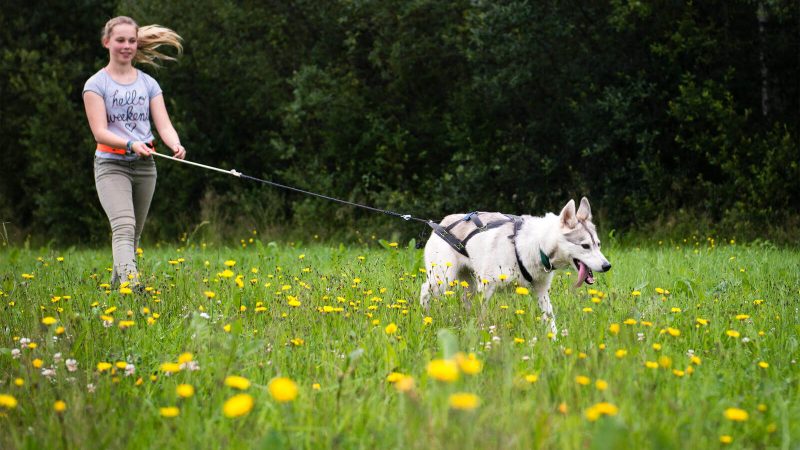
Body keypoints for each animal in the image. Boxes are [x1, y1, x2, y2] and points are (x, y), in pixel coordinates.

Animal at [418, 197, 612, 334]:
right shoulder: (486, 288)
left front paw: (556, 342)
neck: (538, 245)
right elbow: (483, 316)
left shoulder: (541, 292)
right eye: (585, 246)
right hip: (442, 280)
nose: (607, 266)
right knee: (424, 291)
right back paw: (425, 316)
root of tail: (441, 222)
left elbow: (550, 318)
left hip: (469, 286)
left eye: (598, 244)